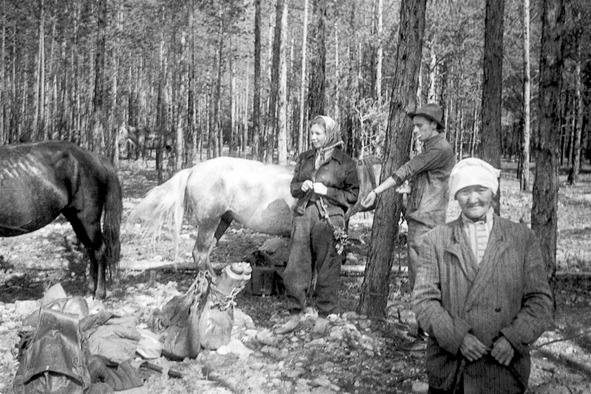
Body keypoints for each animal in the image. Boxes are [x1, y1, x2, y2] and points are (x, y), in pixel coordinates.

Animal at [0, 140, 122, 298]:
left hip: (88, 219)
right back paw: (90, 290)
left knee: (99, 250)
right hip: (76, 219)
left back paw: (99, 294)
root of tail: (96, 158)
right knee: (90, 250)